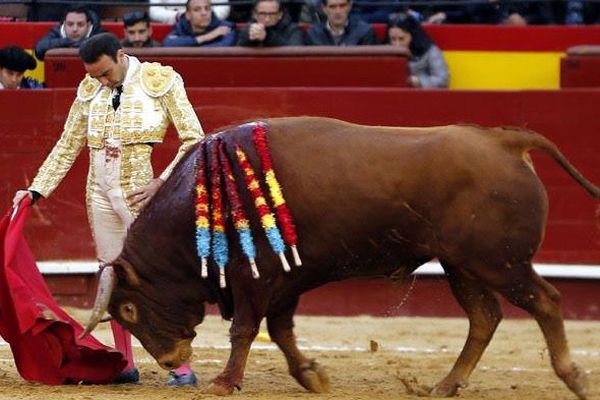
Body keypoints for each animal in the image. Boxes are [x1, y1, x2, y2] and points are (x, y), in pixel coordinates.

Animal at [82, 115, 596, 396]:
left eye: (129, 309)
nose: (171, 361)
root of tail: (504, 140)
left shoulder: (257, 277)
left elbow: (245, 328)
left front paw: (226, 382)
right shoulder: (287, 278)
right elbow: (280, 331)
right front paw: (311, 375)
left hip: (499, 263)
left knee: (544, 302)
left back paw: (573, 377)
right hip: (463, 266)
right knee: (484, 317)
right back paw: (444, 386)